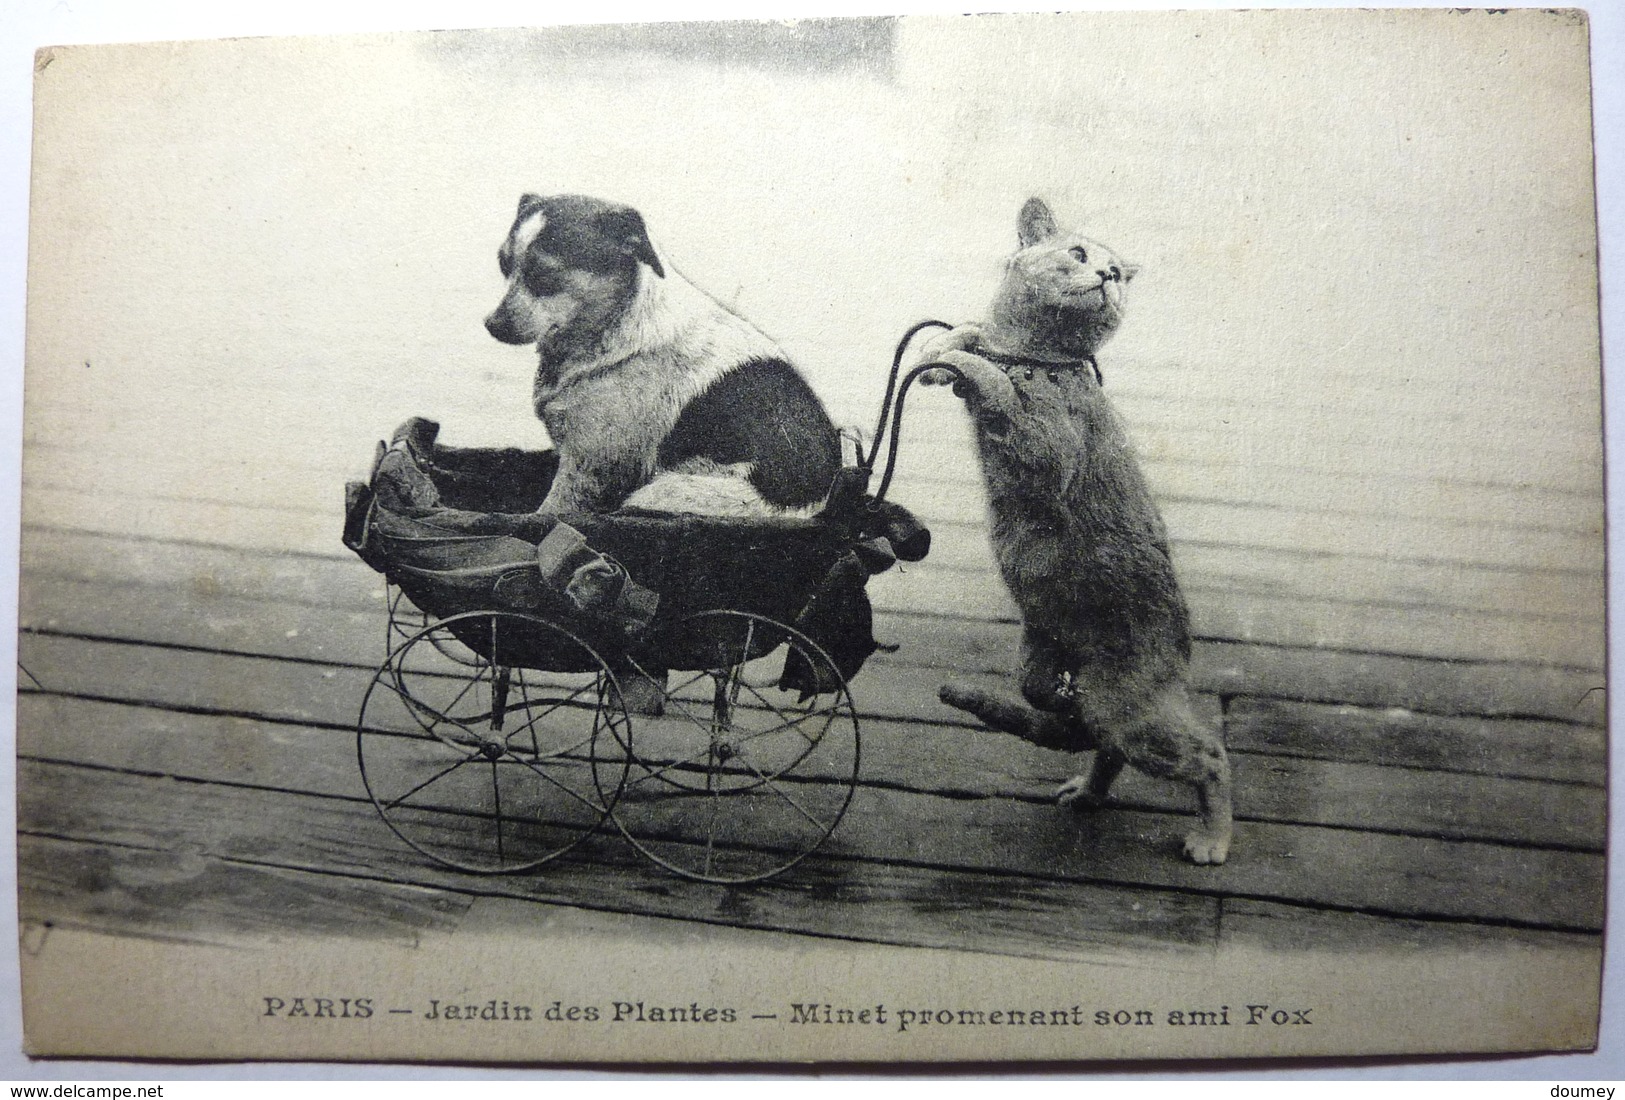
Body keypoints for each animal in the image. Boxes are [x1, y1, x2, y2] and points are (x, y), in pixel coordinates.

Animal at [481, 194, 838, 519]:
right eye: (503, 265)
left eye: (544, 274)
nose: (491, 324)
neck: (617, 334)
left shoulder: (590, 464)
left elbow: (550, 513)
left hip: (662, 491)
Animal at [923, 199, 1222, 864]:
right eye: (1080, 255)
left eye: (1114, 272)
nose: (1108, 275)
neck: (1029, 353)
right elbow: (970, 332)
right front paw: (941, 346)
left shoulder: (1048, 447)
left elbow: (999, 388)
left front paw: (965, 366)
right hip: (1043, 648)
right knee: (1067, 716)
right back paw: (1083, 782)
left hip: (1132, 714)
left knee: (1208, 757)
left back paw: (1212, 838)